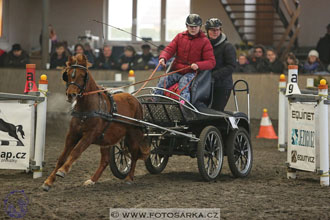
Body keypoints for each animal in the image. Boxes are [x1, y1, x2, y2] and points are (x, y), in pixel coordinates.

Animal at [42, 53, 149, 191]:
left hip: (133, 134)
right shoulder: (72, 134)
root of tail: (135, 99)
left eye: (83, 75)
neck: (86, 109)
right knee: (105, 160)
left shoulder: (90, 135)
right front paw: (48, 181)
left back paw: (129, 178)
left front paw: (63, 170)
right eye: (68, 74)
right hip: (107, 139)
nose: (71, 94)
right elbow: (62, 157)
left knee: (134, 154)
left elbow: (76, 151)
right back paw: (92, 180)